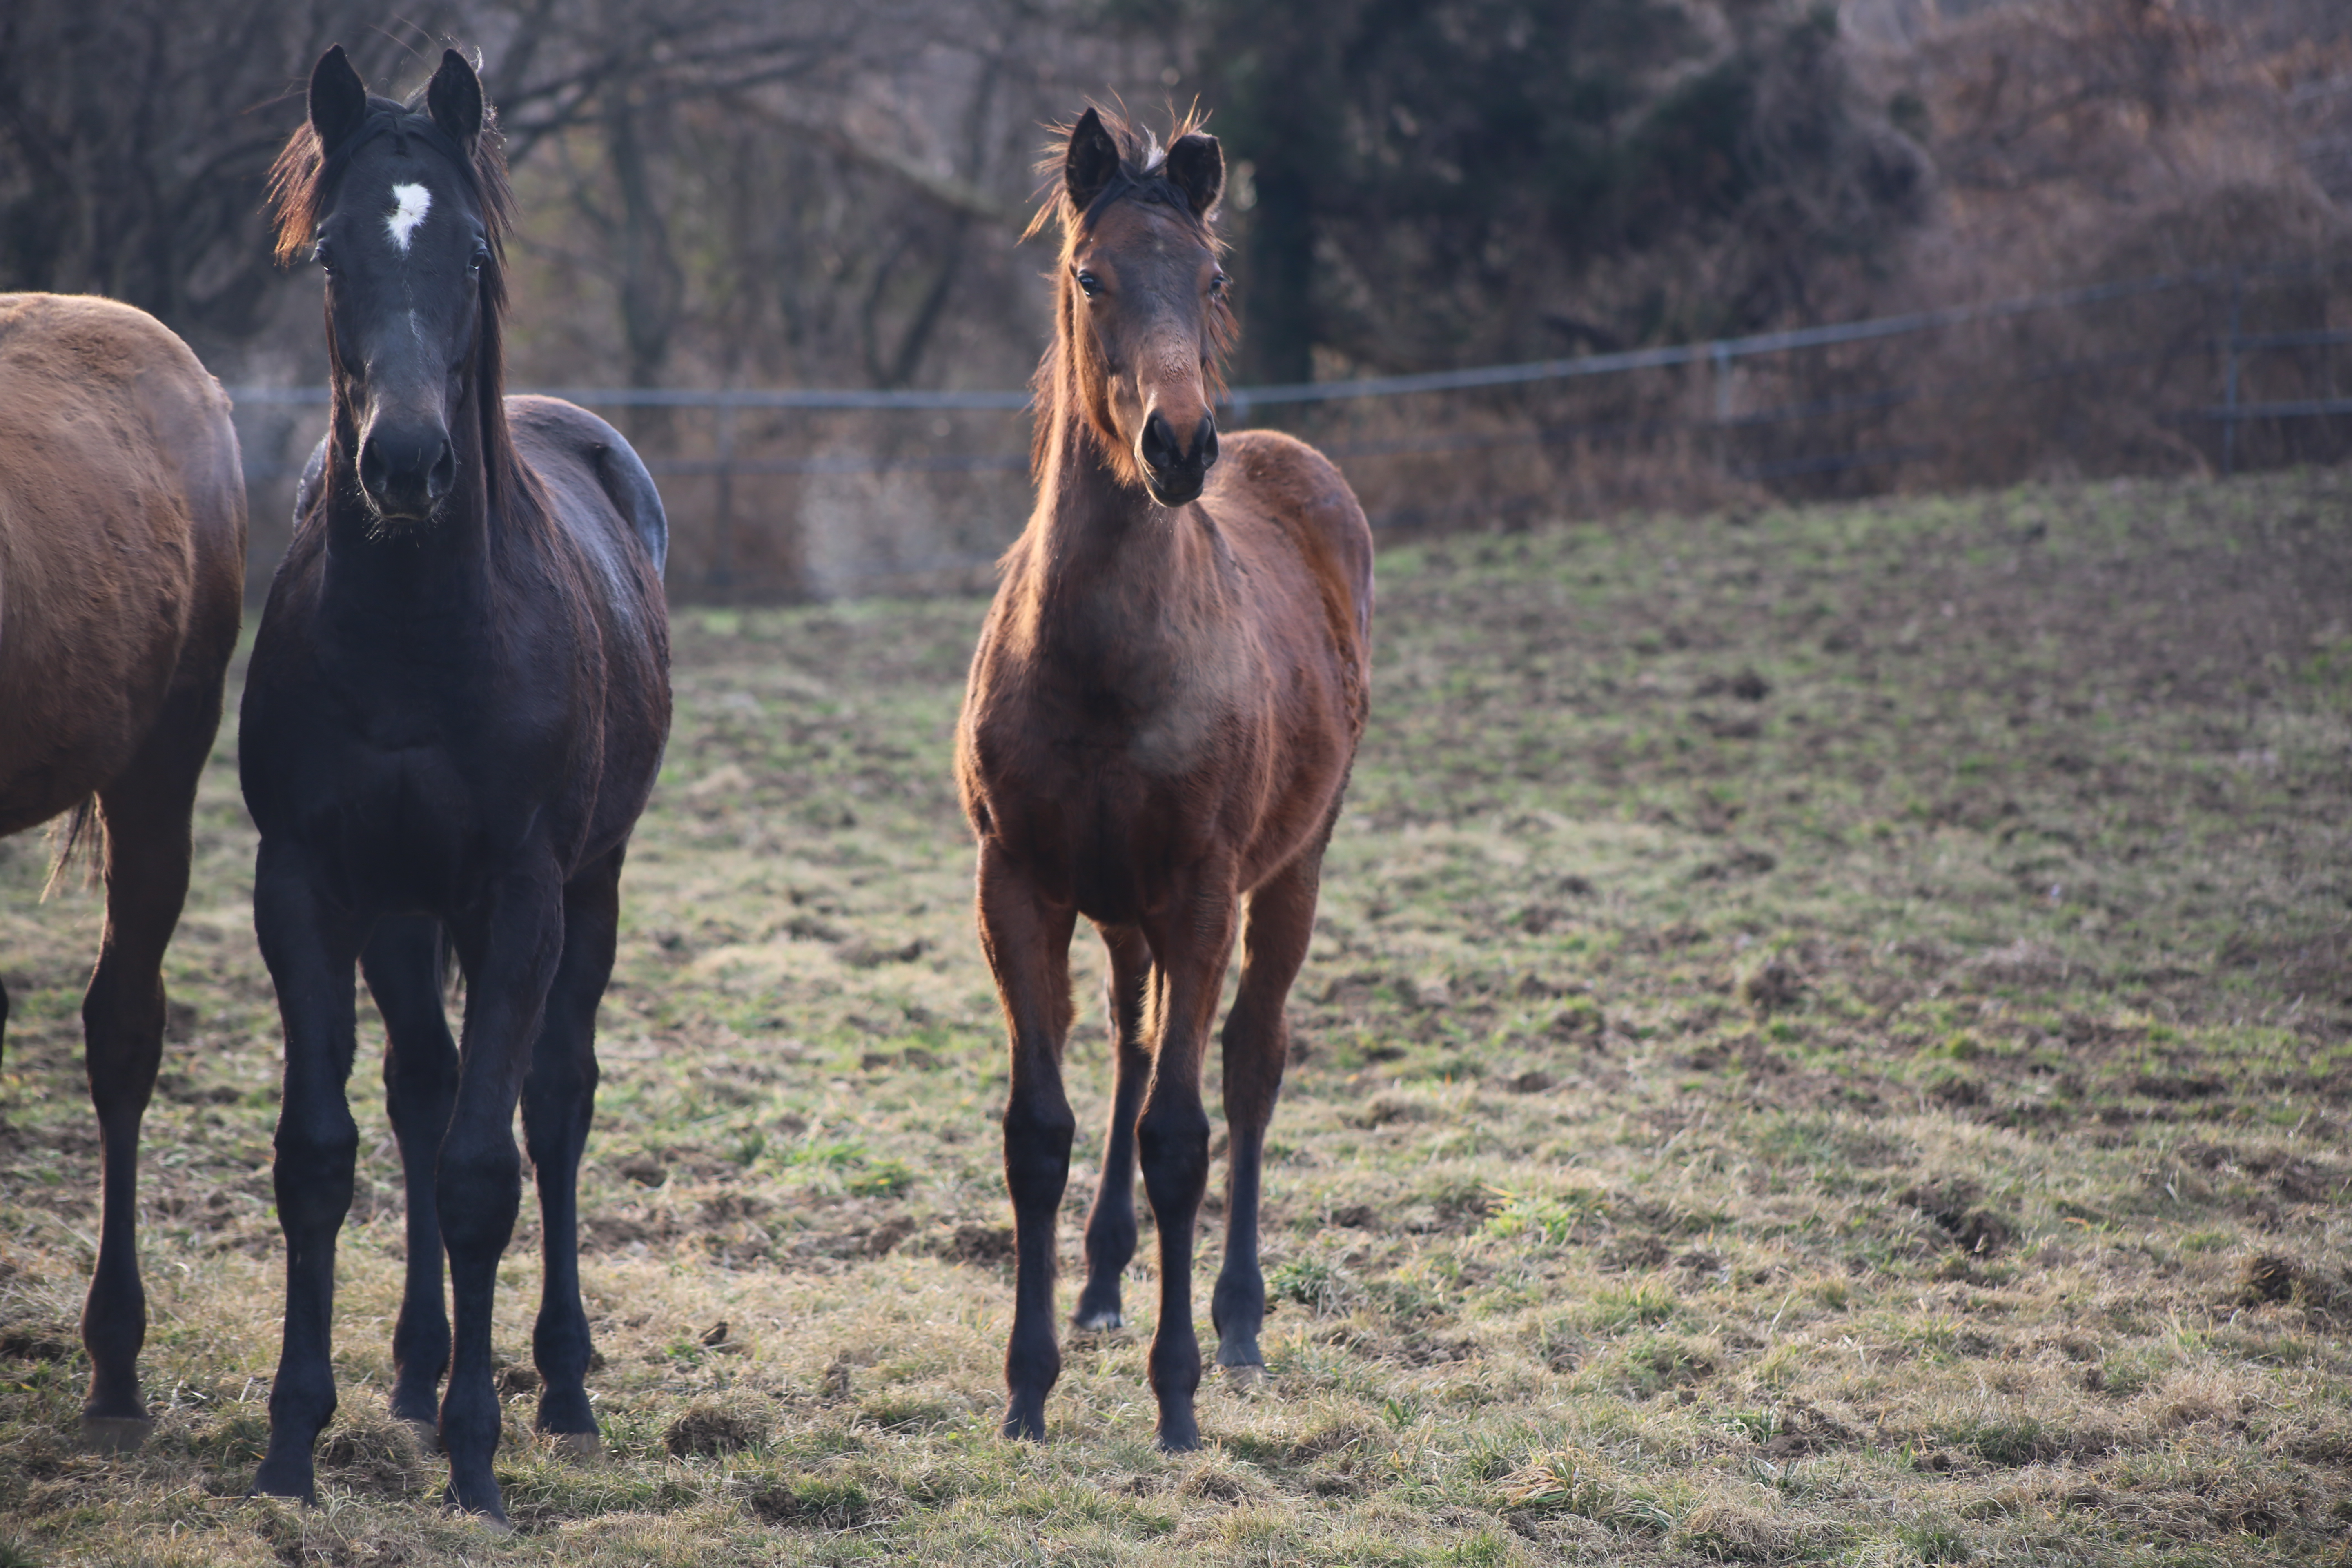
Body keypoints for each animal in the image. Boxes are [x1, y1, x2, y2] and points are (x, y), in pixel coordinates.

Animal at [243, 46, 673, 1523]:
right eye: (329, 252)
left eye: (476, 251)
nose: (409, 462)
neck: (420, 636)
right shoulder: (308, 885)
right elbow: (322, 1156)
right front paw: (292, 1443)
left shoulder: (522, 895)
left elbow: (493, 1166)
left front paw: (482, 1458)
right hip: (403, 909)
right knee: (423, 1091)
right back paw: (416, 1374)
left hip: (585, 891)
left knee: (553, 1102)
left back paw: (566, 1383)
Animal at [945, 107, 1373, 1457]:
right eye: (1092, 276)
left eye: (1215, 277)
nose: (1179, 446)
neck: (1100, 663)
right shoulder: (1016, 886)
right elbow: (1041, 1131)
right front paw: (1026, 1386)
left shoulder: (1200, 894)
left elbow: (1184, 1136)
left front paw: (1176, 1393)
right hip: (1120, 908)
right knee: (1135, 1043)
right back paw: (1096, 1282)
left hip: (1291, 871)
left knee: (1248, 1060)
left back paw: (1236, 1321)